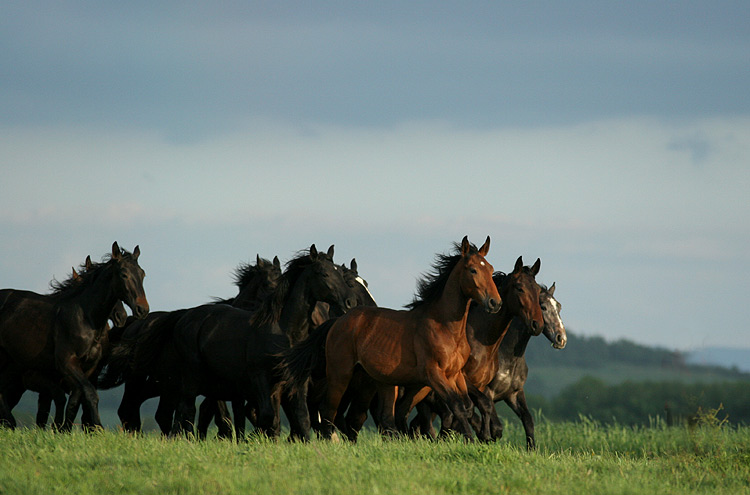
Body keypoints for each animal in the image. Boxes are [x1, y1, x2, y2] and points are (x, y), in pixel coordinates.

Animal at [0, 244, 149, 430]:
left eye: (142, 274)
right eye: (124, 274)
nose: (142, 309)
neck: (85, 317)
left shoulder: (88, 368)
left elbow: (76, 398)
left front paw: (63, 429)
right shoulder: (66, 363)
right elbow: (88, 394)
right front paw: (97, 427)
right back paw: (10, 422)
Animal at [284, 236, 502, 442]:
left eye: (490, 268)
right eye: (473, 270)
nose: (495, 303)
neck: (445, 327)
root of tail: (338, 321)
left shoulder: (455, 375)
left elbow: (467, 406)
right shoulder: (434, 374)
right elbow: (457, 405)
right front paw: (471, 440)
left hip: (378, 382)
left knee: (379, 417)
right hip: (340, 374)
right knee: (329, 410)